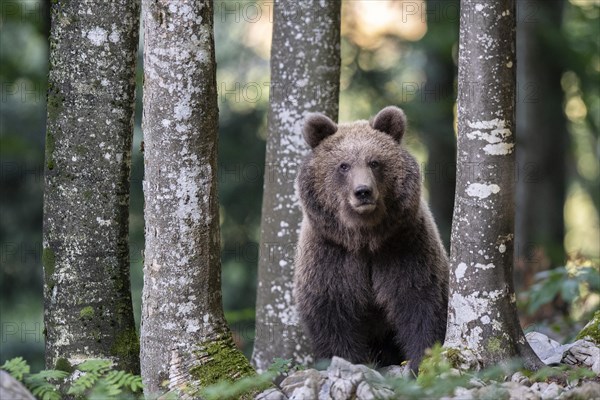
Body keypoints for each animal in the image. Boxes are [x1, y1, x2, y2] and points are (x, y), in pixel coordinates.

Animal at [292, 105, 448, 372]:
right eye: (343, 165)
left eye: (374, 162)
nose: (363, 191)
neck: (365, 239)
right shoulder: (331, 254)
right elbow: (333, 314)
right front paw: (348, 360)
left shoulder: (405, 246)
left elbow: (420, 301)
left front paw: (420, 362)